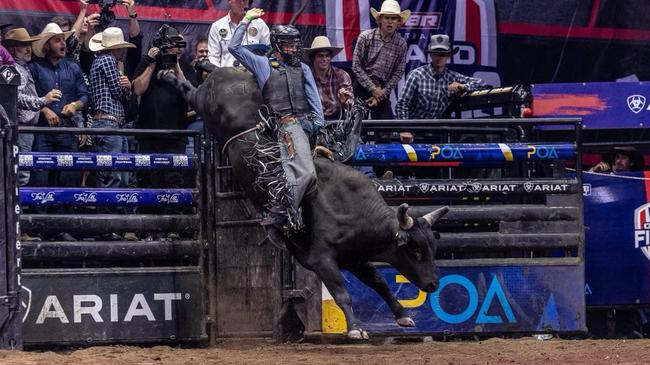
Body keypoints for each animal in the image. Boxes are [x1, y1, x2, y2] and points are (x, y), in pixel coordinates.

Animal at [161, 67, 446, 338]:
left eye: (433, 247)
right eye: (415, 249)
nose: (433, 284)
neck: (353, 210)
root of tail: (228, 73)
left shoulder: (355, 258)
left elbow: (379, 282)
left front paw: (403, 316)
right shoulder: (321, 260)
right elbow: (342, 294)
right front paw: (355, 329)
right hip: (202, 102)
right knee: (190, 91)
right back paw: (169, 74)